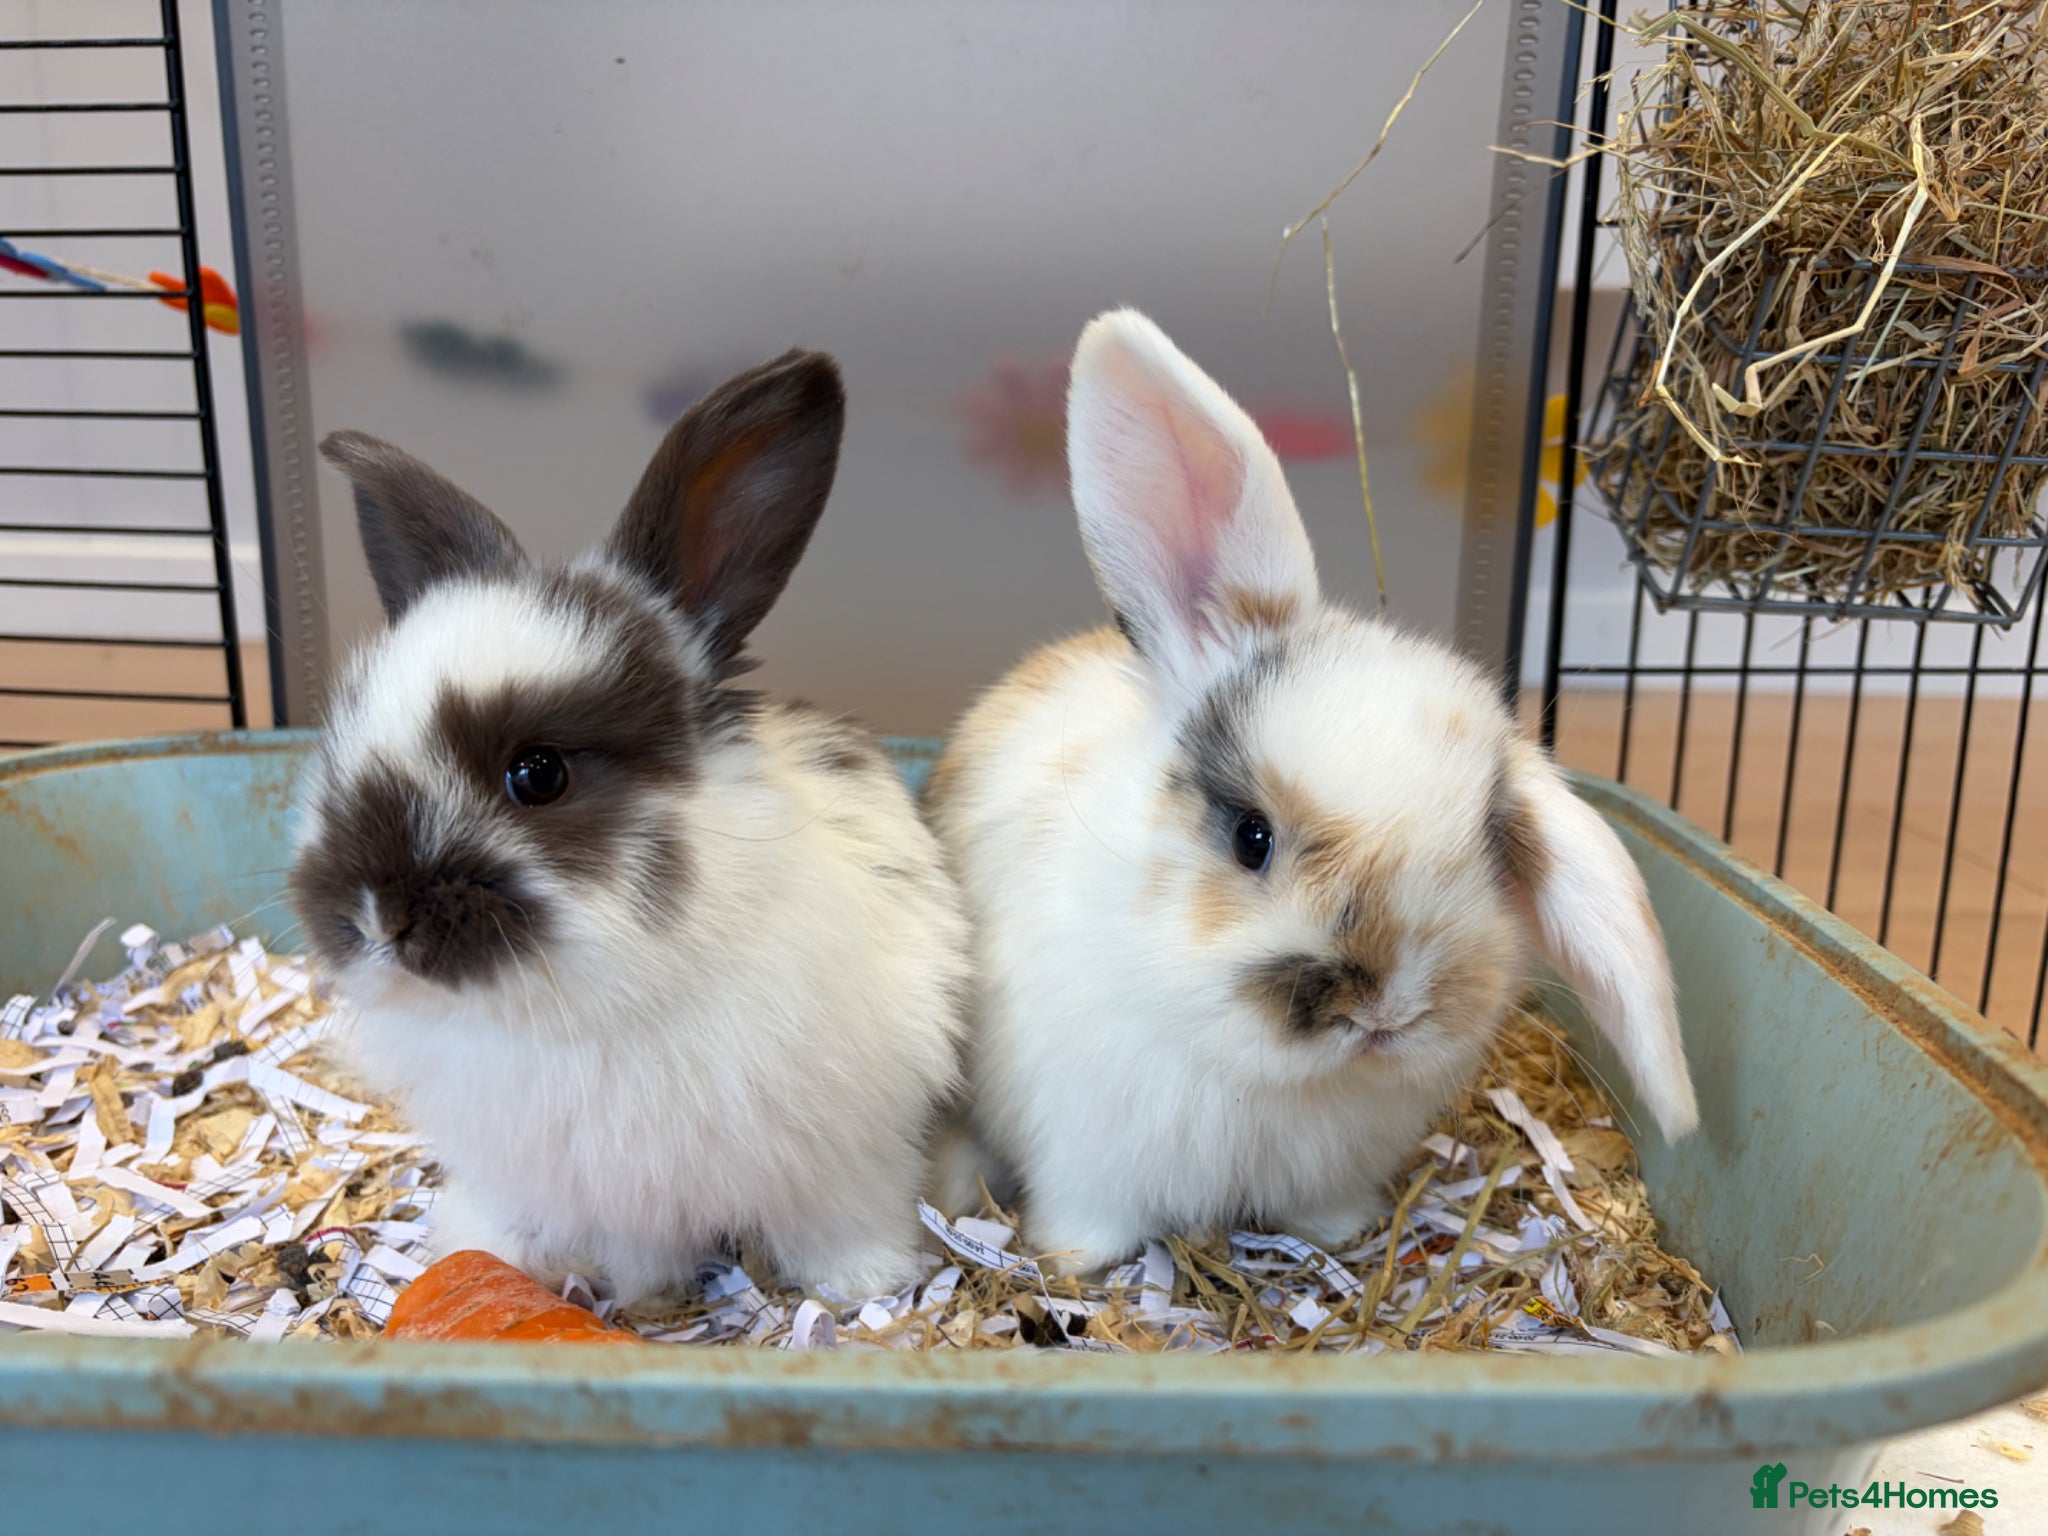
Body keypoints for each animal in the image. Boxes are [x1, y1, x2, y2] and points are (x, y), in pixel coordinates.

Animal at [289, 350, 970, 1303]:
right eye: (342, 739)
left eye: (538, 774)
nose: (375, 918)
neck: (583, 1009)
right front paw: (489, 1249)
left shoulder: (847, 1155)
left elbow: (838, 1222)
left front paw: (866, 1284)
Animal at [925, 310, 1698, 1277]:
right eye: (1251, 837)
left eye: (1490, 852)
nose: (1387, 1010)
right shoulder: (1088, 1155)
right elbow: (1091, 1216)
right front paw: (1072, 1262)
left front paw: (1339, 1234)